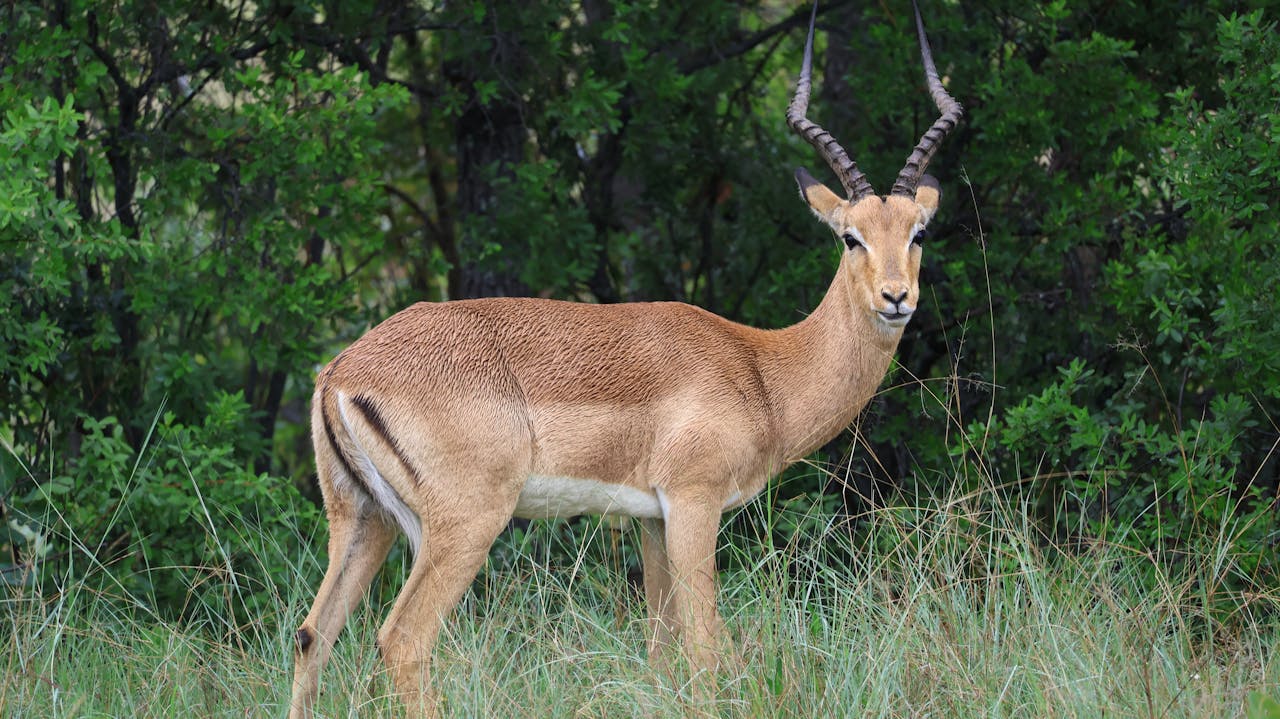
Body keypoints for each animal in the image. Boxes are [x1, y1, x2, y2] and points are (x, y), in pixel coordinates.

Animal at [289, 2, 961, 716]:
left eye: (918, 231)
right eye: (850, 236)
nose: (897, 297)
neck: (760, 369)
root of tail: (343, 372)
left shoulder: (651, 521)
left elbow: (662, 655)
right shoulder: (693, 504)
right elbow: (706, 650)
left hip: (364, 521)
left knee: (312, 635)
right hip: (464, 525)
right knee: (402, 640)